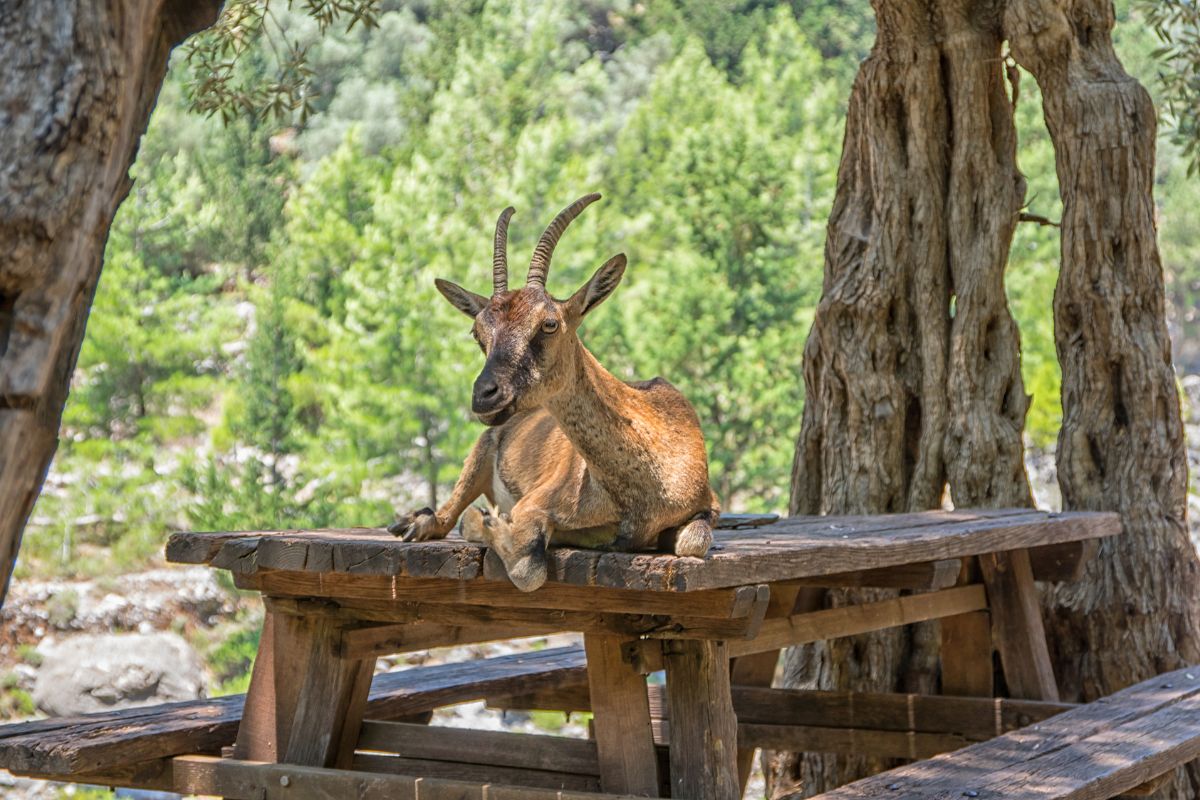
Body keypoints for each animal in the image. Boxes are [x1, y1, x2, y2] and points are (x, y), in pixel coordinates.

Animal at [389, 194, 719, 591]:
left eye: (549, 324)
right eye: (478, 333)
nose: (485, 394)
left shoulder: (707, 506)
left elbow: (693, 542)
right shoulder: (535, 503)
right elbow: (528, 567)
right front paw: (484, 522)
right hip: (482, 450)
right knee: (445, 515)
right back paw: (415, 522)